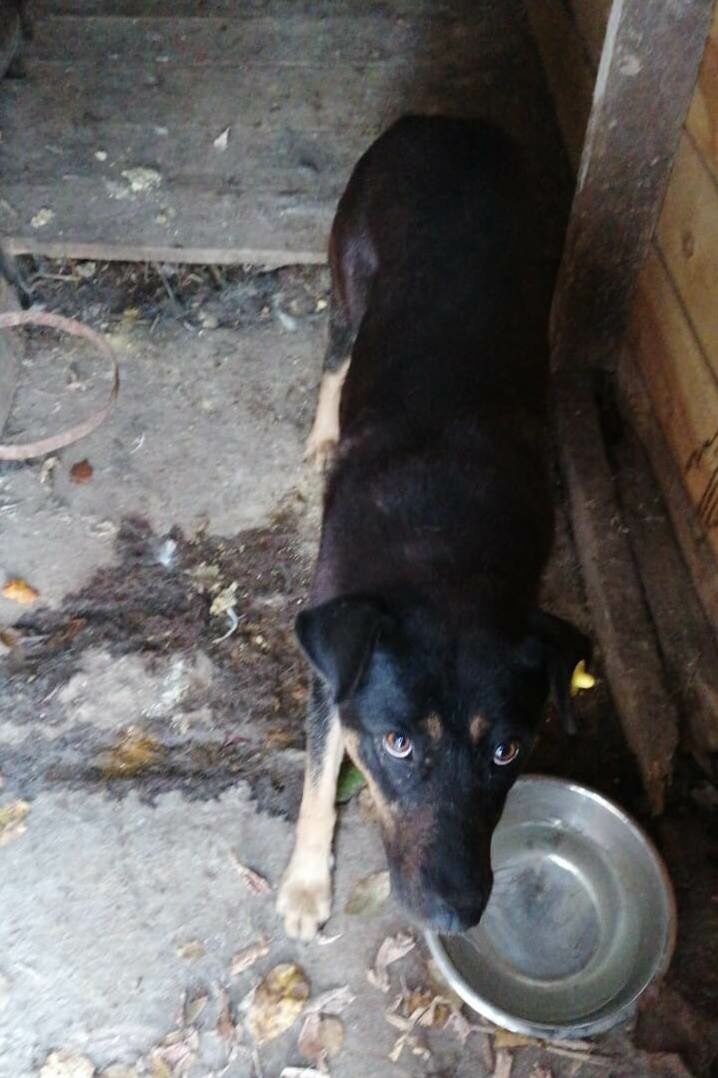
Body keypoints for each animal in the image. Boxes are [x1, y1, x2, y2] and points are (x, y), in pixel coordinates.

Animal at [273, 118, 586, 940]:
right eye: (398, 743)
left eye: (508, 749)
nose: (456, 915)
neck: (448, 554)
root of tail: (446, 122)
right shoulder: (333, 669)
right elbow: (318, 777)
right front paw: (306, 886)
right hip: (349, 279)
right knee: (336, 357)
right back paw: (323, 438)